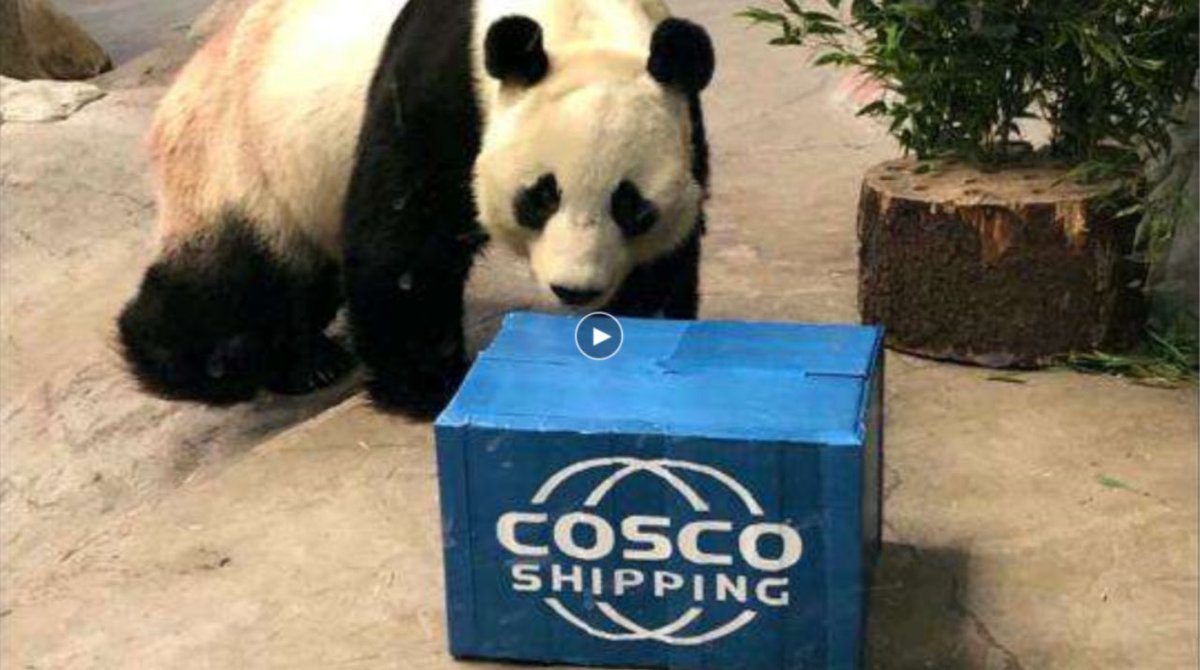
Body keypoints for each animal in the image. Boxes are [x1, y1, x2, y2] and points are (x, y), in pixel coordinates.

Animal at [117, 0, 715, 414]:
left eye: (632, 209)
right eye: (540, 197)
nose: (576, 290)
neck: (579, 23)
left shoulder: (685, 112)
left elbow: (671, 250)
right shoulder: (441, 85)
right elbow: (404, 241)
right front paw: (431, 385)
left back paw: (309, 362)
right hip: (242, 160)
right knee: (233, 281)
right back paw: (212, 363)